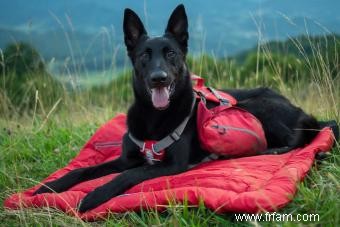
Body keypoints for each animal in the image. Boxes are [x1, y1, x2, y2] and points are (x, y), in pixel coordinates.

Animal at [35, 4, 324, 213]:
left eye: (171, 53)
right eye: (145, 55)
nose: (159, 78)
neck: (154, 116)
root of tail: (299, 109)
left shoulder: (171, 165)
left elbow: (128, 175)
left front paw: (94, 195)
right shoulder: (126, 158)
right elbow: (83, 170)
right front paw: (49, 187)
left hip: (255, 105)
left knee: (299, 139)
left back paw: (273, 149)